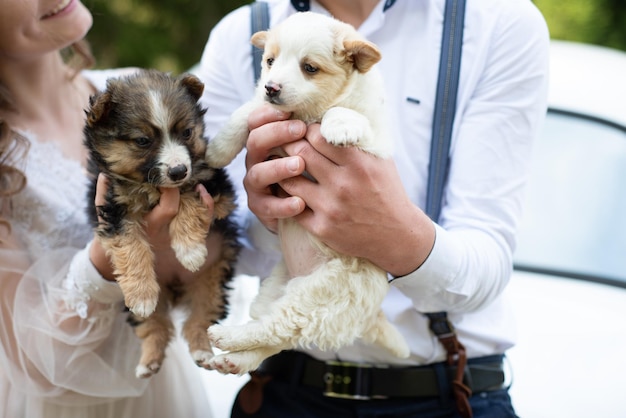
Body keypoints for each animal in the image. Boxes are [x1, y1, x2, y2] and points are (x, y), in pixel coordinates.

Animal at [83, 69, 239, 378]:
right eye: (143, 141)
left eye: (187, 132)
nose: (178, 170)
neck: (152, 186)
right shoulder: (112, 207)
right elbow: (130, 246)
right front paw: (142, 294)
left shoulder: (215, 186)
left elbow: (188, 195)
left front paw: (190, 251)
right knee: (154, 325)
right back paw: (149, 360)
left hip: (214, 279)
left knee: (200, 319)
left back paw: (202, 350)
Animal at [205, 11, 410, 374]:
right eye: (270, 61)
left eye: (309, 68)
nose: (271, 87)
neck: (308, 114)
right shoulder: (264, 110)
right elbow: (246, 114)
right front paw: (216, 151)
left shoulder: (376, 141)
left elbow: (347, 114)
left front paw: (340, 125)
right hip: (275, 287)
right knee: (272, 333)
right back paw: (232, 357)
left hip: (324, 296)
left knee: (279, 328)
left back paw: (227, 338)